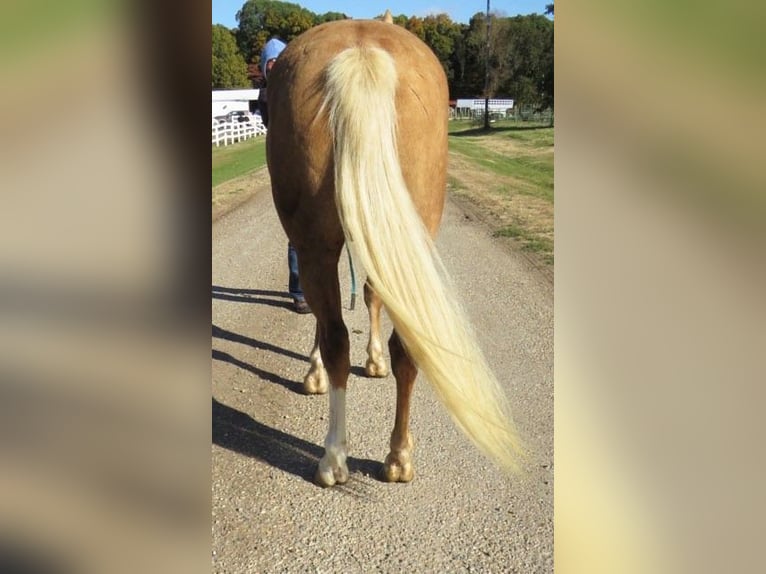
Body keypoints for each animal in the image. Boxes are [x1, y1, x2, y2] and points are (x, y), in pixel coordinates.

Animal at [264, 18, 520, 486]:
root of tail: (363, 52)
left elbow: (348, 308)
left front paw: (323, 371)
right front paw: (362, 363)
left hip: (317, 245)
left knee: (338, 337)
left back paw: (338, 456)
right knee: (402, 346)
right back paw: (395, 455)